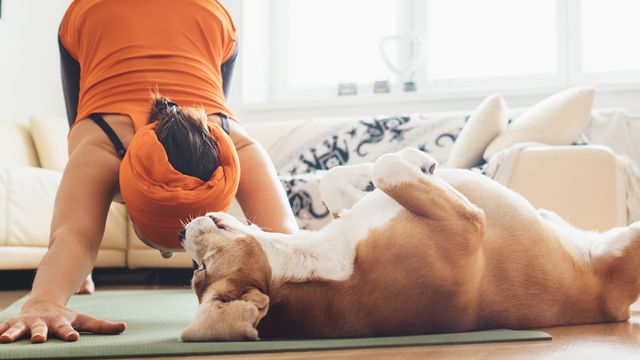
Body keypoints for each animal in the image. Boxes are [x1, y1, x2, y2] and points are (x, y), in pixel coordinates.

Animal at [178, 148, 640, 342]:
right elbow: (387, 166)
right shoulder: (466, 224)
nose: (181, 234)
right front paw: (417, 158)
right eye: (200, 270)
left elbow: (337, 178)